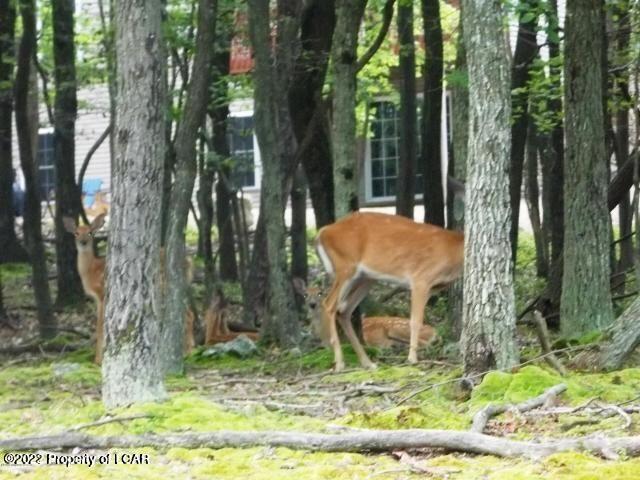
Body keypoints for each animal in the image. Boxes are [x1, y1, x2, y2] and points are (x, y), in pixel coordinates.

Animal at [63, 214, 106, 364]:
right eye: (76, 233)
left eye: (90, 232)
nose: (83, 242)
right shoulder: (97, 299)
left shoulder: (101, 294)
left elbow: (100, 326)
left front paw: (98, 360)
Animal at [316, 212, 462, 374]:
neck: (454, 250)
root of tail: (323, 232)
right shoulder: (420, 279)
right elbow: (415, 320)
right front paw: (412, 359)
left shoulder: (432, 288)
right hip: (345, 266)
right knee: (329, 304)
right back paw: (340, 364)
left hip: (365, 278)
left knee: (344, 310)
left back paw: (368, 363)